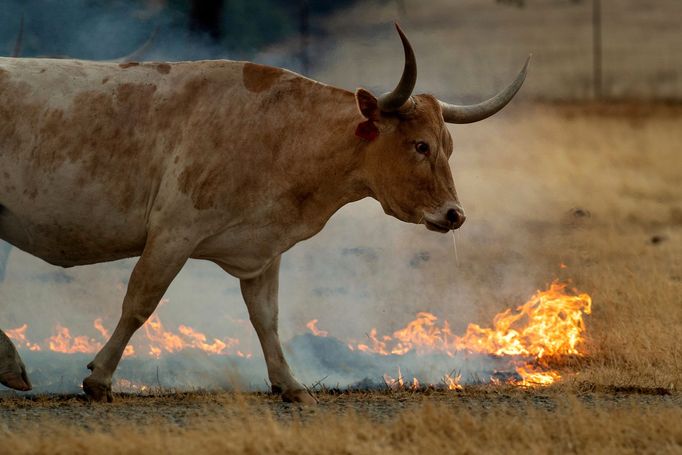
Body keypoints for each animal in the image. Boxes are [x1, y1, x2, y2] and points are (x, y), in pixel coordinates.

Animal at [0, 25, 524, 402]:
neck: (280, 132)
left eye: (448, 145)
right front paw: (99, 378)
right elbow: (139, 303)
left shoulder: (262, 252)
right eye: (420, 145)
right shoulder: (174, 233)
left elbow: (266, 318)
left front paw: (288, 383)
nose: (455, 215)